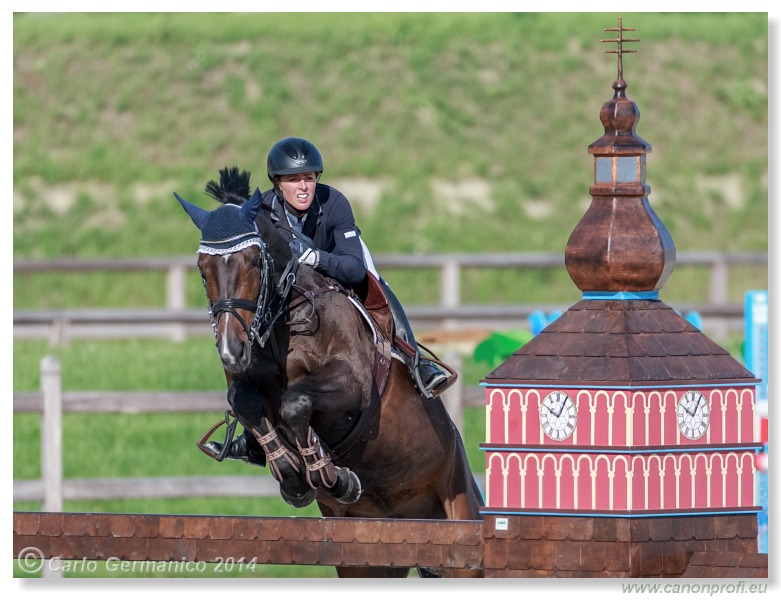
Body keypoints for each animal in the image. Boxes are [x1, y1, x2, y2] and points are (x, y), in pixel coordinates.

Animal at [174, 168, 484, 576]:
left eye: (255, 261)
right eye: (202, 269)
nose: (231, 350)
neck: (285, 321)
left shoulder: (351, 384)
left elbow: (295, 401)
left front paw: (332, 476)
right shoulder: (244, 382)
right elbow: (244, 401)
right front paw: (294, 477)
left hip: (460, 522)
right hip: (369, 561)